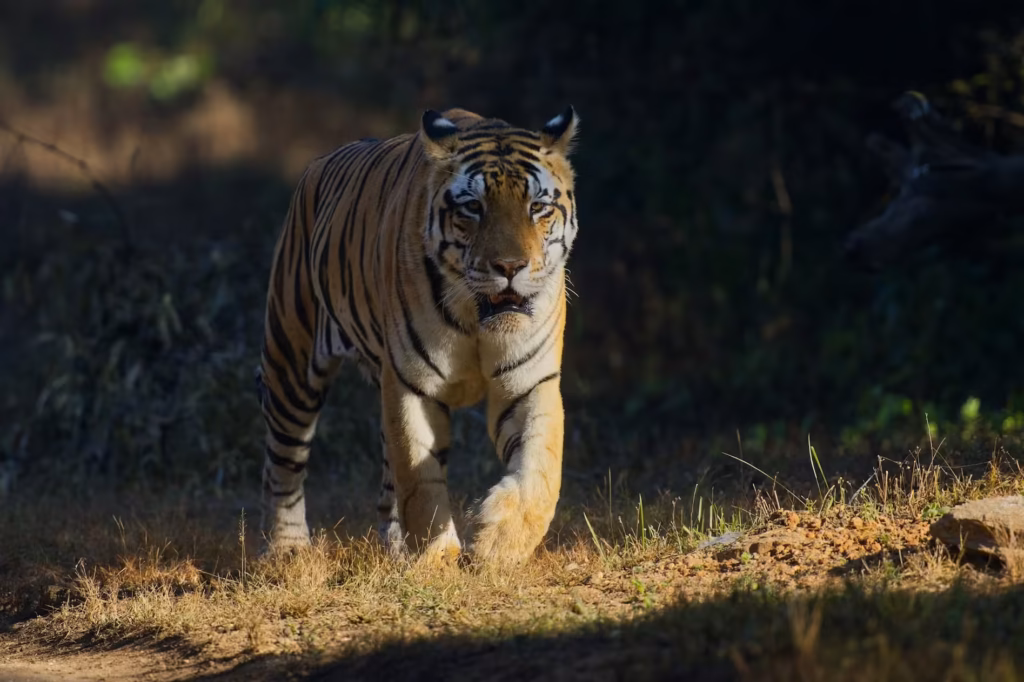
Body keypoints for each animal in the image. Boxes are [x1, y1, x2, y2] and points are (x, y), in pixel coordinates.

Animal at [255, 106, 580, 565]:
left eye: (537, 207)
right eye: (473, 208)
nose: (510, 266)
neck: (476, 318)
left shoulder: (530, 381)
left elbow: (540, 466)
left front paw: (499, 541)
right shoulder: (413, 385)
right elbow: (419, 478)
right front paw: (436, 560)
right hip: (291, 361)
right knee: (282, 464)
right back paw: (288, 551)